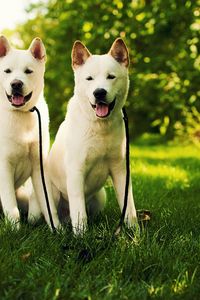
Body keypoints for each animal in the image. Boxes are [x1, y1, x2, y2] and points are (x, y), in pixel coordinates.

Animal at [0, 35, 59, 229]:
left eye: (28, 71)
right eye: (7, 71)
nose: (16, 84)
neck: (21, 115)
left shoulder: (39, 165)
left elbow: (47, 206)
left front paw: (58, 229)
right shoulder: (4, 168)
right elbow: (12, 209)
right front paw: (15, 231)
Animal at [48, 37, 138, 234]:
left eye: (111, 77)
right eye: (89, 78)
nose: (99, 92)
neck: (99, 127)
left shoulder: (120, 169)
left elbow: (128, 204)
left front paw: (135, 231)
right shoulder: (76, 171)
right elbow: (79, 211)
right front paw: (81, 236)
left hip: (100, 196)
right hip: (50, 196)